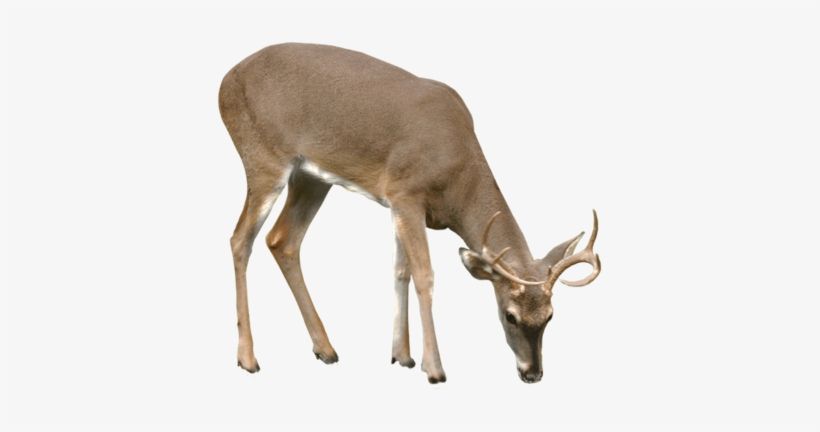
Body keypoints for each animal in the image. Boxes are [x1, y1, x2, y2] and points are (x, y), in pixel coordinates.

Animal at [219, 43, 601, 384]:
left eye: (550, 316)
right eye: (509, 316)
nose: (532, 374)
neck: (457, 177)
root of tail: (226, 81)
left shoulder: (398, 204)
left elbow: (400, 270)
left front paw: (401, 355)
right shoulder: (407, 193)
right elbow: (425, 275)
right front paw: (434, 368)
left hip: (312, 178)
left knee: (282, 240)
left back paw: (325, 349)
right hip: (264, 160)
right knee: (240, 239)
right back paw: (248, 359)